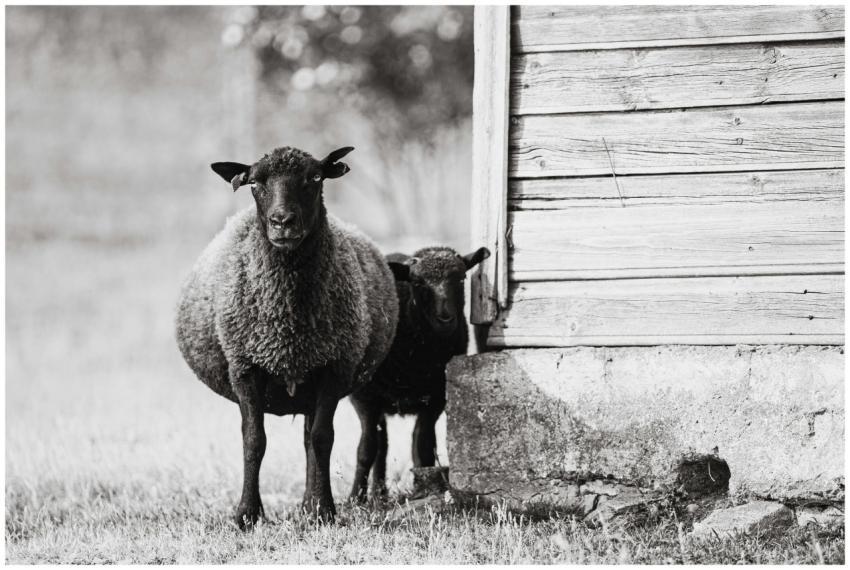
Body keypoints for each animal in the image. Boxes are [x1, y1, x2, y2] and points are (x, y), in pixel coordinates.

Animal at [175, 145, 399, 527]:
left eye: (315, 177)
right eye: (255, 183)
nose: (282, 222)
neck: (287, 324)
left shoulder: (333, 367)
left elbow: (322, 439)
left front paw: (323, 510)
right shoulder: (245, 367)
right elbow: (254, 441)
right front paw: (247, 515)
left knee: (311, 439)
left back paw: (309, 506)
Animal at [347, 245, 490, 501]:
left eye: (462, 278)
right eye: (417, 283)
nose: (445, 318)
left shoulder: (435, 398)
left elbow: (422, 445)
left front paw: (423, 489)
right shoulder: (364, 398)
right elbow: (366, 450)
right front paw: (355, 498)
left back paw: (381, 493)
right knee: (380, 446)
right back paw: (377, 494)